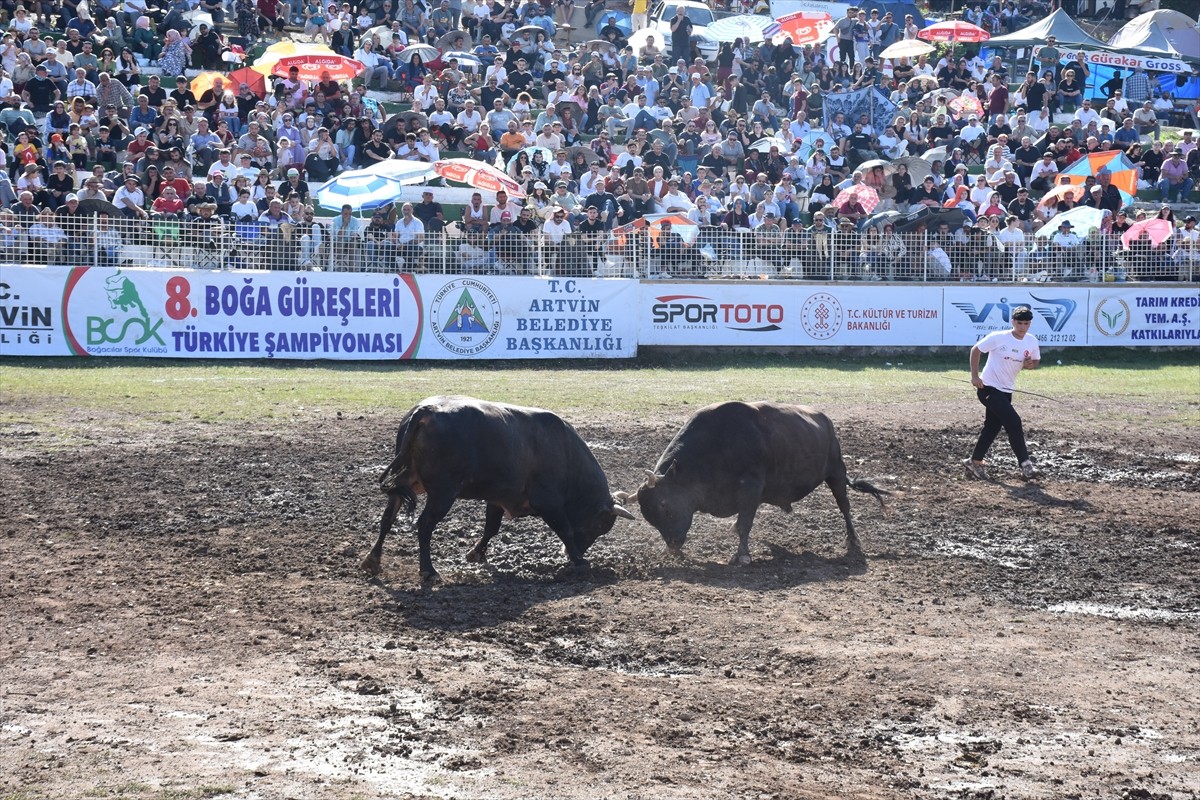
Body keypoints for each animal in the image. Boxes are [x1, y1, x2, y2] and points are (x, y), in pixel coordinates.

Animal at [360, 395, 633, 578]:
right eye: (598, 525)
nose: (567, 554)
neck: (565, 453)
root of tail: (425, 409)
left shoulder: (498, 497)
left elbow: (491, 528)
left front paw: (476, 553)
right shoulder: (549, 502)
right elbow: (564, 528)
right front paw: (579, 559)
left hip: (403, 482)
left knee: (387, 519)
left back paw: (372, 560)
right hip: (442, 494)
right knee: (424, 525)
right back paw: (428, 570)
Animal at [619, 400, 892, 563]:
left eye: (664, 504)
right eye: (649, 517)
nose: (674, 544)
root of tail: (826, 421)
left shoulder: (749, 489)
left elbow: (744, 524)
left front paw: (742, 556)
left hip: (836, 473)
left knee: (845, 507)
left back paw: (853, 540)